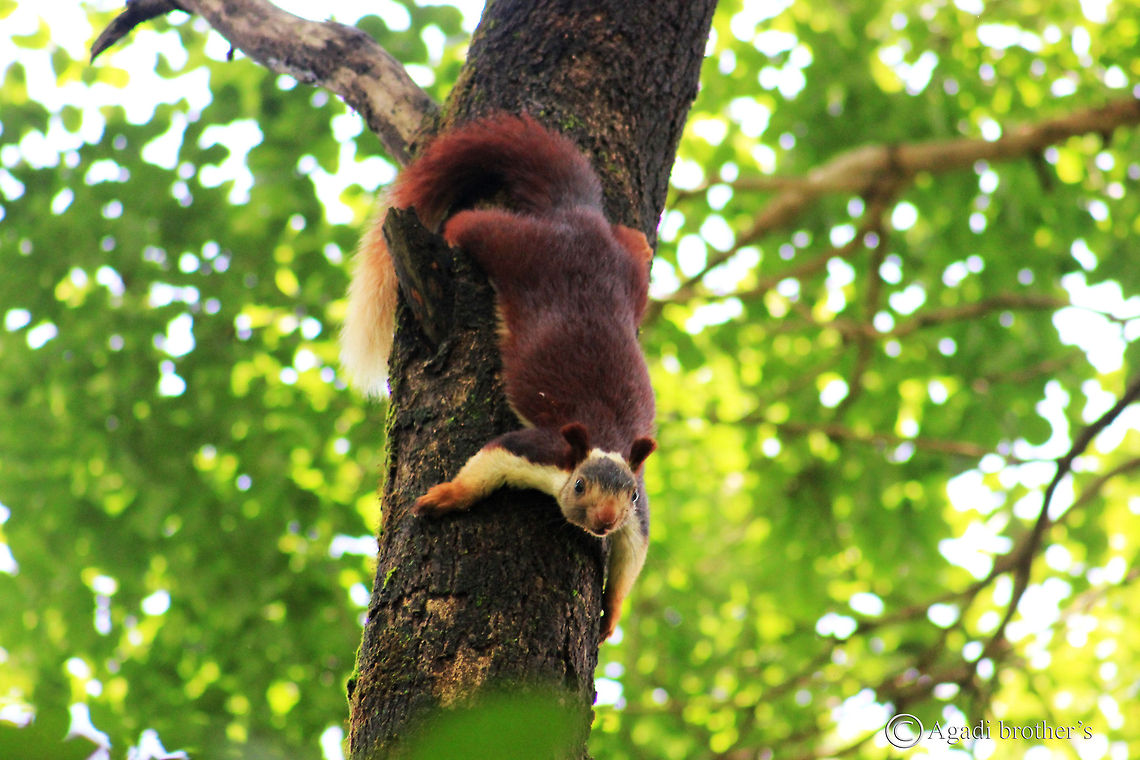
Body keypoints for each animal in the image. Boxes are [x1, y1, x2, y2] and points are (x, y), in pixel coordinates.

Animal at [340, 114, 657, 639]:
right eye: (579, 487)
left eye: (629, 494)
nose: (605, 521)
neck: (601, 442)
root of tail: (574, 219)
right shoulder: (538, 449)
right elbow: (487, 462)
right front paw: (444, 497)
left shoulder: (639, 511)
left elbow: (632, 558)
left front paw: (611, 615)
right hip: (513, 247)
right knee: (474, 226)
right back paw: (450, 229)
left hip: (629, 275)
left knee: (629, 243)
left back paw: (644, 242)